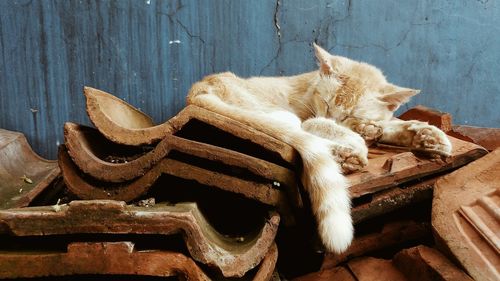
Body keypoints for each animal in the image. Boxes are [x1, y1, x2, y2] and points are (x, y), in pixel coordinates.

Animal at [186, 43, 452, 252]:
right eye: (325, 103)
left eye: (351, 114)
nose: (336, 118)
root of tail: (197, 90)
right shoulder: (310, 119)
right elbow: (328, 127)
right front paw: (361, 137)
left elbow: (387, 125)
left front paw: (427, 136)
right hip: (280, 115)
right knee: (303, 136)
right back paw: (345, 154)